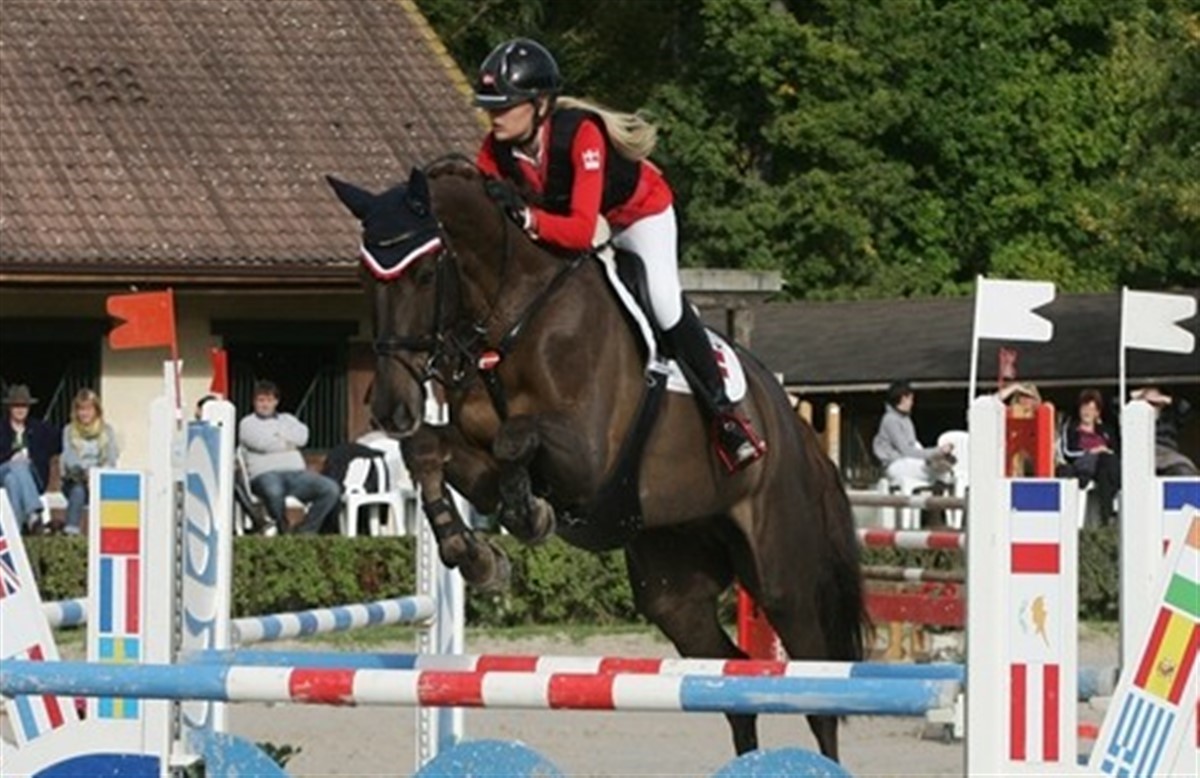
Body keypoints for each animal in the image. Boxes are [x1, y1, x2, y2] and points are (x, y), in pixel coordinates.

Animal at [327, 157, 869, 760]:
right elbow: (427, 449)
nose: (391, 407)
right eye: (361, 277)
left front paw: (527, 515)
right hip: (674, 585)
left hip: (782, 576)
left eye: (423, 276)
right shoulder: (472, 450)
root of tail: (797, 430)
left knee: (817, 687)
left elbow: (516, 439)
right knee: (731, 680)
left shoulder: (589, 458)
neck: (512, 317)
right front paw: (474, 554)